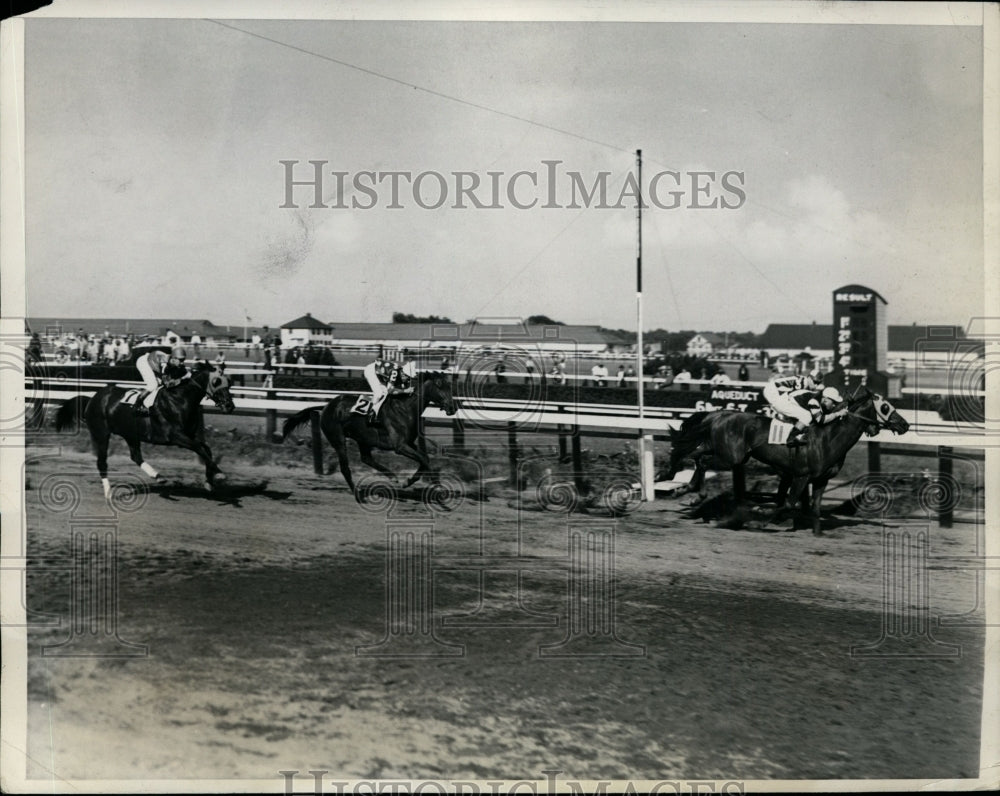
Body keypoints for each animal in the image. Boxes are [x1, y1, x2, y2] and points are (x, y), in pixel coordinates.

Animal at [56, 364, 234, 494]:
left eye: (229, 382)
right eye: (216, 382)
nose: (230, 406)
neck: (180, 399)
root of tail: (92, 398)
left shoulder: (189, 435)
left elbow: (206, 449)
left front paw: (209, 481)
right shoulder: (176, 436)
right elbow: (200, 448)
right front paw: (219, 474)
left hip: (130, 433)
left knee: (135, 456)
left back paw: (158, 477)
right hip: (101, 434)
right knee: (102, 462)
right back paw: (108, 492)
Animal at [282, 370, 460, 500]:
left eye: (450, 386)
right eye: (439, 385)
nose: (452, 408)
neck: (405, 409)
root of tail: (326, 406)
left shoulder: (409, 443)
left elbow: (424, 459)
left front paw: (408, 481)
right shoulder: (400, 446)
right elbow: (423, 459)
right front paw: (438, 486)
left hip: (363, 438)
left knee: (366, 458)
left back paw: (391, 476)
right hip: (338, 438)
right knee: (345, 467)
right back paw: (357, 494)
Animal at [668, 388, 912, 536]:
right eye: (885, 407)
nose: (905, 425)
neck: (828, 438)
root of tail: (719, 415)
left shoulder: (820, 479)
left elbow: (814, 507)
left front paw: (817, 533)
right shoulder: (801, 476)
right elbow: (787, 503)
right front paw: (759, 520)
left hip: (723, 450)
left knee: (697, 456)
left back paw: (686, 489)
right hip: (731, 457)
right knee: (702, 461)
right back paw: (695, 494)